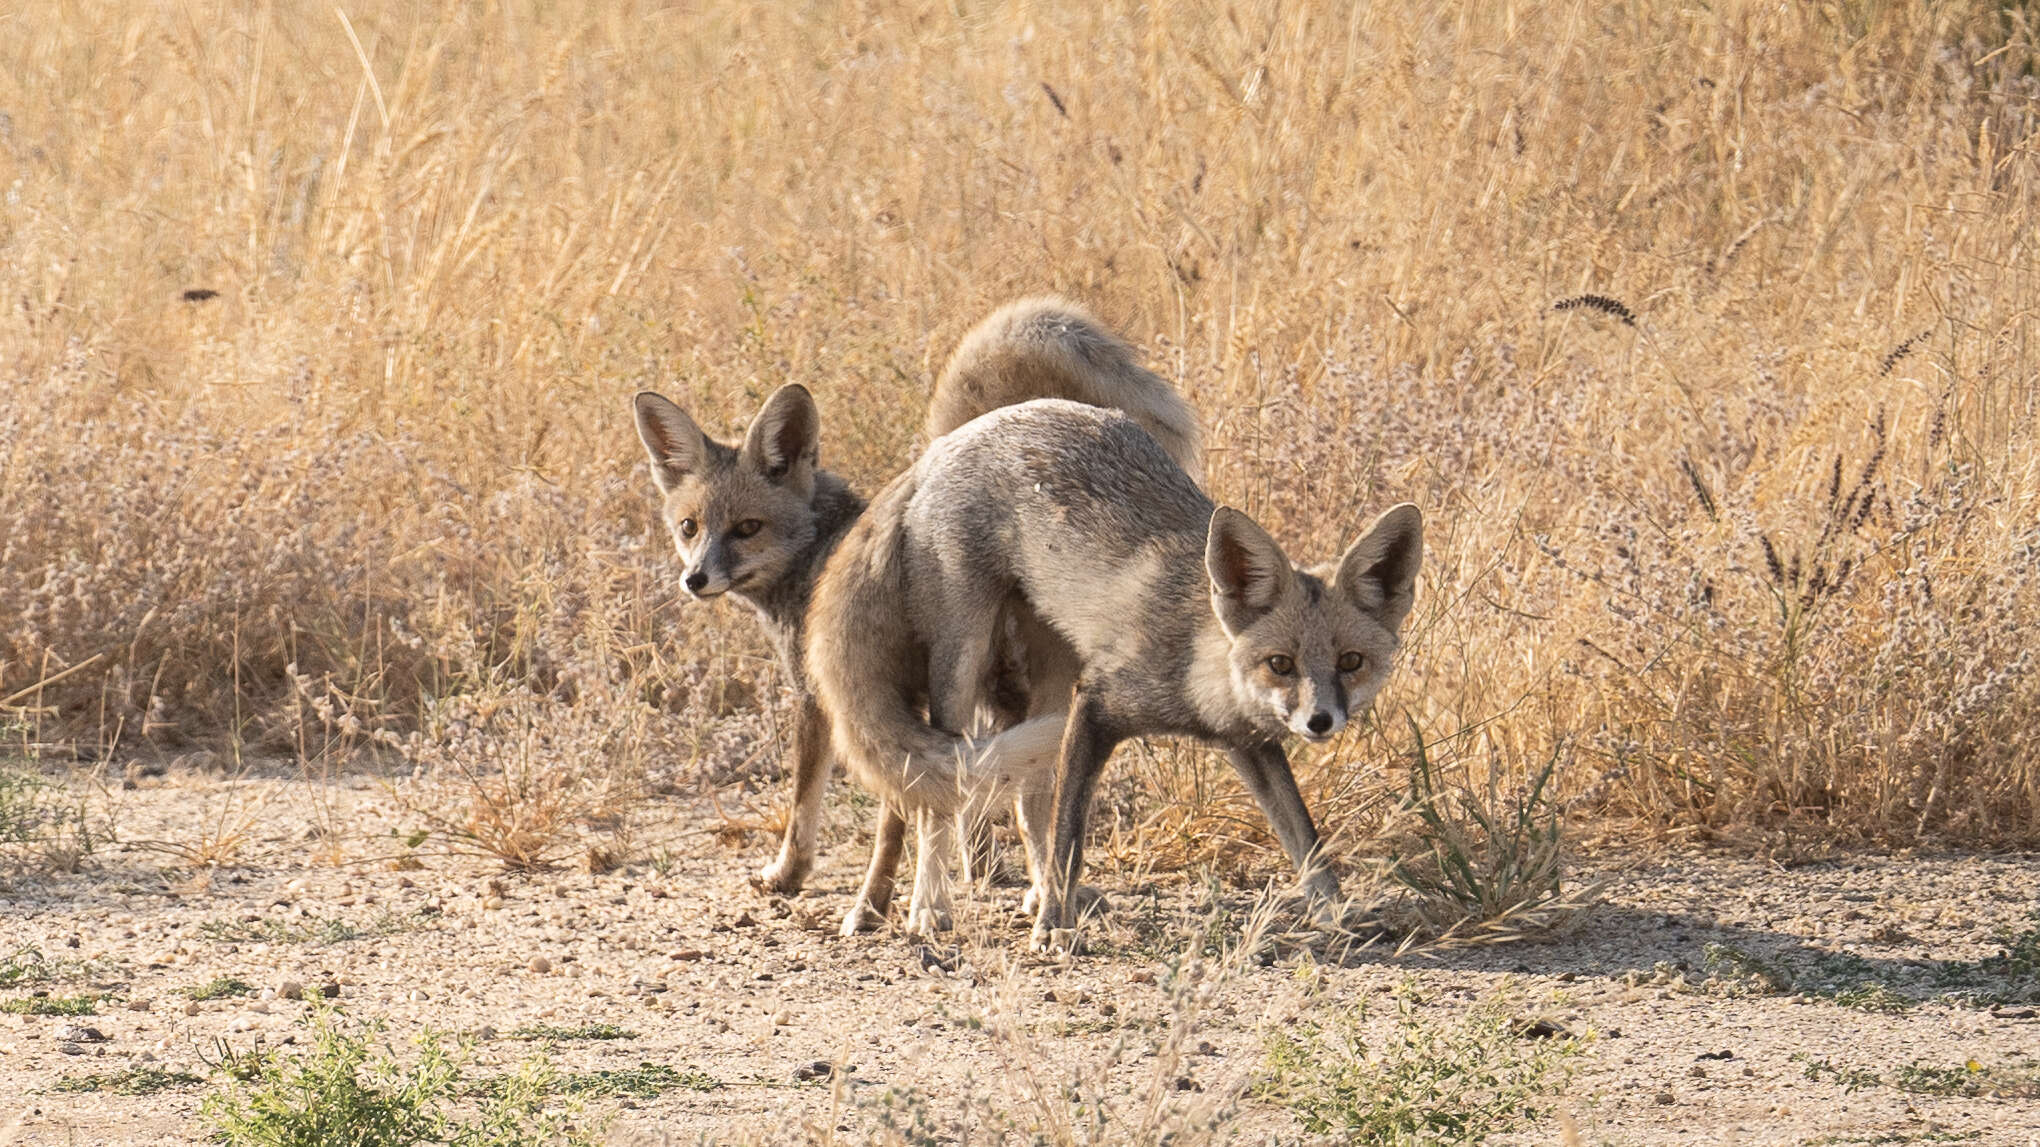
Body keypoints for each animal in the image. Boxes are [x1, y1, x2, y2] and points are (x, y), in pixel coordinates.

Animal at [620, 300, 1191, 906]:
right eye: (689, 527)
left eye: (747, 528)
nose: (695, 579)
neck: (819, 551)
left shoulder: (819, 699)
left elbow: (812, 805)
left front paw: (799, 878)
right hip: (1008, 687)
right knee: (1022, 790)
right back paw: (1017, 881)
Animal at [799, 397, 1419, 942]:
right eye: (1281, 664)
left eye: (1350, 662)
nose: (1320, 722)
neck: (1194, 662)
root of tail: (946, 443)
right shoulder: (1095, 707)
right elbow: (1070, 836)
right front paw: (1055, 926)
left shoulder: (1248, 744)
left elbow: (1305, 840)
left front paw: (1338, 915)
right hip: (963, 659)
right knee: (935, 794)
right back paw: (926, 907)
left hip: (1052, 664)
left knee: (1025, 798)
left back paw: (1026, 892)